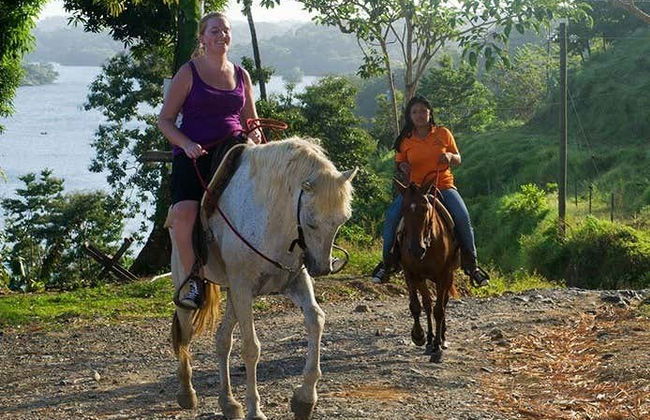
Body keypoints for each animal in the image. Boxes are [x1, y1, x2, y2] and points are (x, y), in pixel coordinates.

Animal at [167, 137, 357, 420]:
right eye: (311, 222)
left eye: (342, 220)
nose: (321, 268)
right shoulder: (244, 288)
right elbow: (251, 348)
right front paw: (255, 410)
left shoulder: (293, 281)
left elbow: (316, 320)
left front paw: (305, 398)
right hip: (193, 290)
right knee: (185, 335)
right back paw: (186, 393)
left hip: (234, 295)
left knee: (222, 340)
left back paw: (229, 402)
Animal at [396, 180, 459, 363]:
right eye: (403, 209)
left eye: (425, 208)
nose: (417, 250)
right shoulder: (412, 274)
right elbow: (418, 306)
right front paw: (419, 336)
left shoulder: (444, 275)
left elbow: (439, 310)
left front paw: (438, 345)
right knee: (428, 304)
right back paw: (430, 338)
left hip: (448, 277)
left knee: (443, 303)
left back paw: (441, 338)